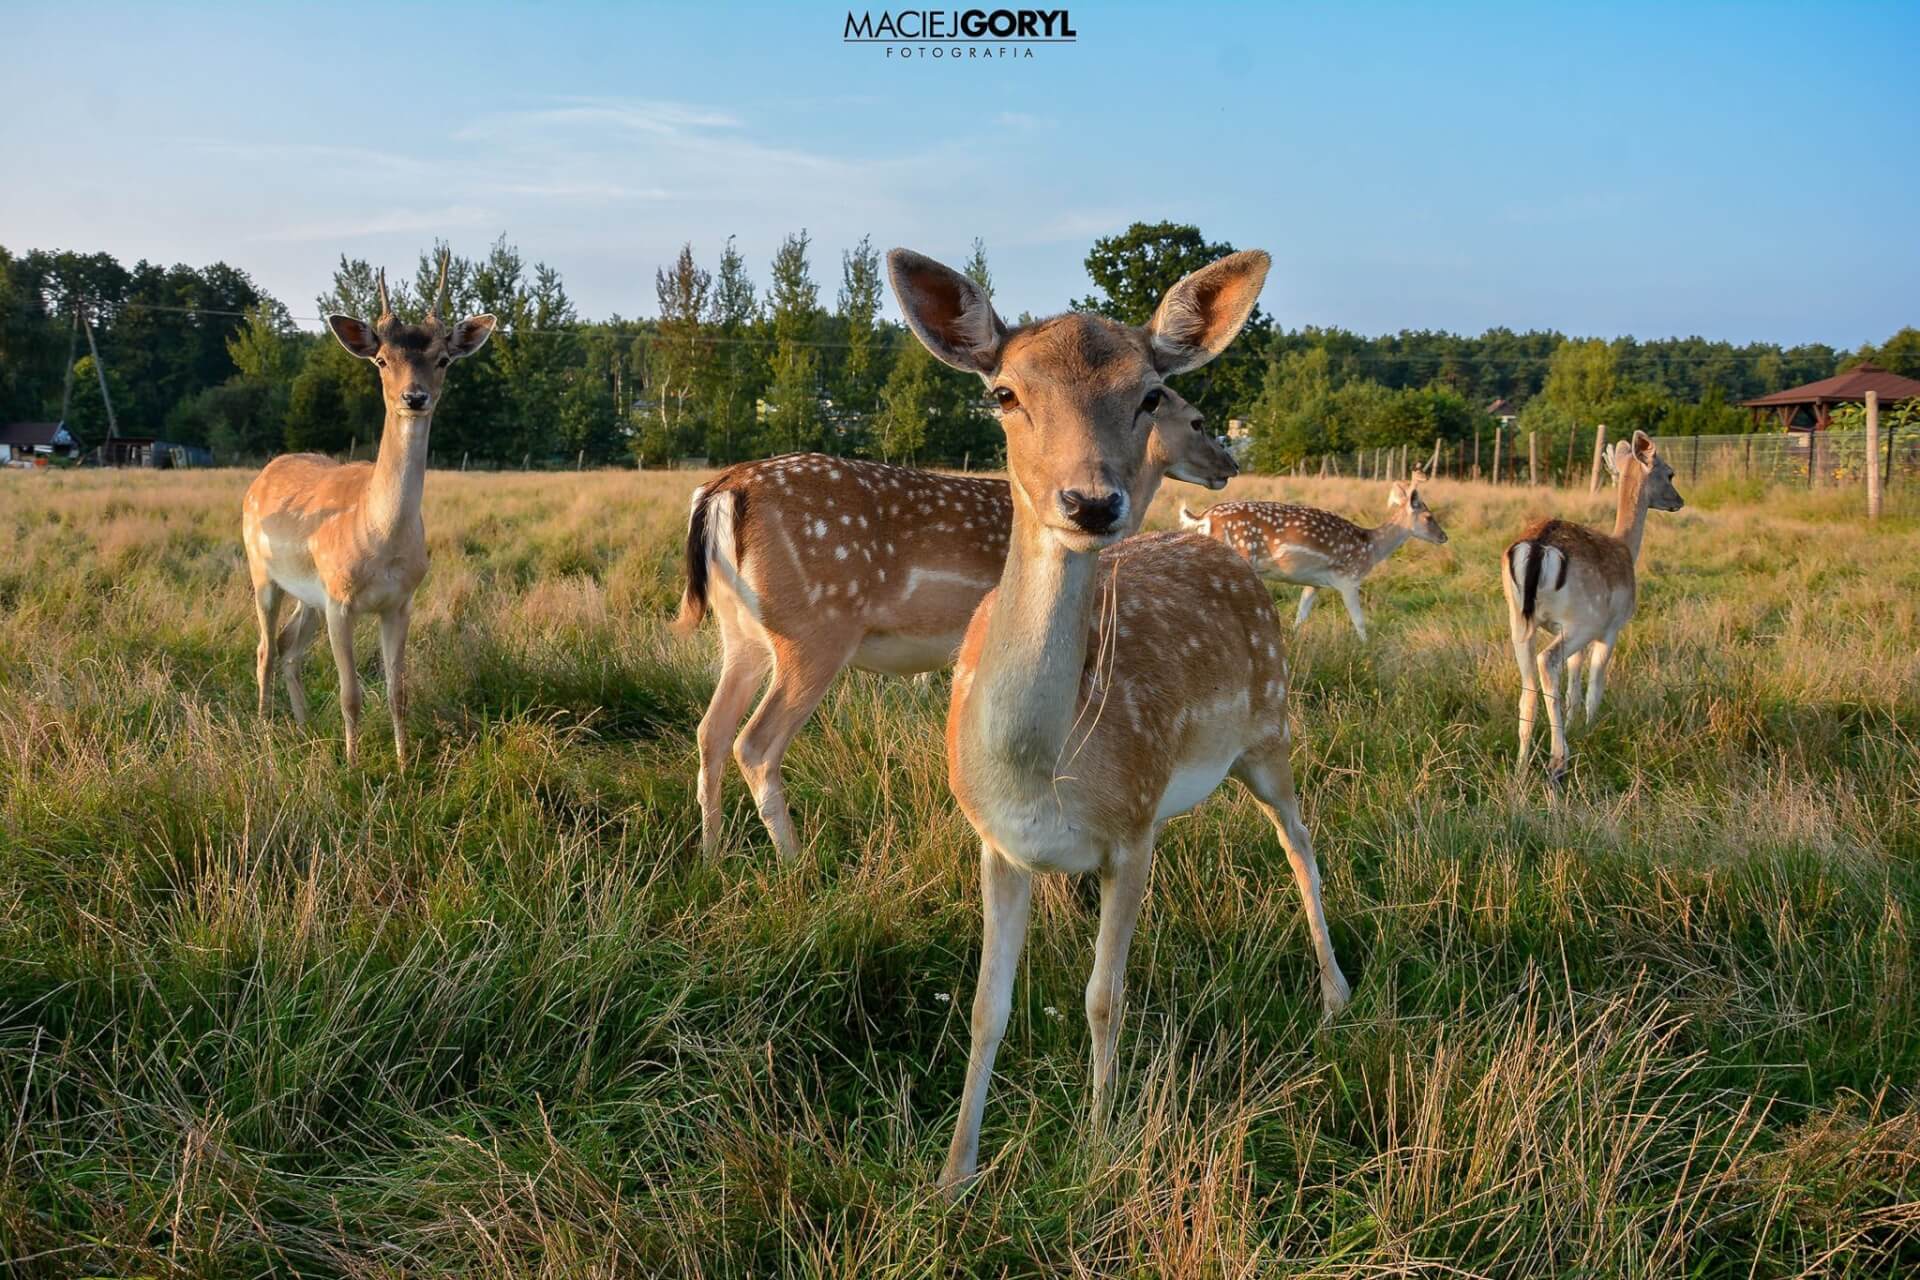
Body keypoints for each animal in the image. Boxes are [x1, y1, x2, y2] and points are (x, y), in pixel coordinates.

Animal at [241, 255, 495, 767]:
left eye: (443, 359)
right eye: (382, 360)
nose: (414, 397)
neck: (380, 538)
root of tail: (263, 474)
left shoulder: (400, 601)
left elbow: (398, 692)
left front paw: (402, 764)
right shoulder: (340, 600)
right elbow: (351, 694)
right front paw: (354, 765)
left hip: (309, 593)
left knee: (289, 647)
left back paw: (303, 728)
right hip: (262, 569)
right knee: (264, 648)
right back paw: (264, 729)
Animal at [675, 387, 1236, 859]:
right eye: (1197, 420)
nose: (1229, 464)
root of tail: (722, 489)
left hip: (741, 632)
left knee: (711, 731)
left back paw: (711, 852)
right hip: (814, 629)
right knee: (754, 744)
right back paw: (795, 862)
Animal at [883, 249, 1351, 1205]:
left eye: (1148, 393)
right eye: (1004, 393)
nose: (1092, 503)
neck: (1037, 771)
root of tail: (1214, 543)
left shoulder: (1131, 835)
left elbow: (1105, 996)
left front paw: (1100, 1146)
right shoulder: (996, 841)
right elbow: (986, 1006)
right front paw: (953, 1174)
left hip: (1272, 729)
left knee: (1302, 847)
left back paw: (1337, 998)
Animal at [1175, 474, 1443, 640]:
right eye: (1429, 517)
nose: (1444, 536)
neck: (1371, 548)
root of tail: (1204, 517)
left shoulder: (1315, 583)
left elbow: (1300, 616)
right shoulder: (1348, 578)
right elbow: (1359, 620)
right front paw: (1366, 647)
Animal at [1497, 429, 1681, 786]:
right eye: (1669, 473)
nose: (1679, 501)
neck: (1627, 548)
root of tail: (1537, 547)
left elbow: (1574, 686)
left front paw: (1575, 725)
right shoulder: (1611, 627)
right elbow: (1595, 684)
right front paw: (1590, 728)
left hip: (1518, 619)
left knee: (1528, 687)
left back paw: (1522, 765)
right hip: (1582, 620)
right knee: (1548, 661)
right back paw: (1557, 762)